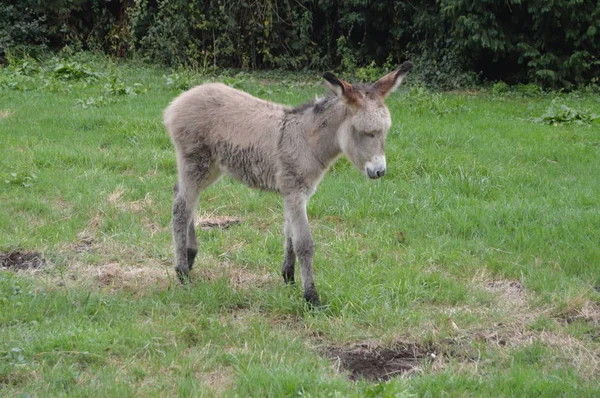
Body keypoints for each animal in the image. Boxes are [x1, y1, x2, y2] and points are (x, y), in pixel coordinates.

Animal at [164, 62, 412, 306]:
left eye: (384, 133)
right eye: (365, 132)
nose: (379, 171)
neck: (306, 140)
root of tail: (181, 100)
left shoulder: (297, 193)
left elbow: (290, 235)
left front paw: (289, 278)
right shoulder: (294, 191)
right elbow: (304, 243)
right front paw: (311, 297)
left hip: (212, 167)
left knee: (184, 197)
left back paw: (189, 255)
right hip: (196, 163)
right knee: (181, 209)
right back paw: (182, 273)